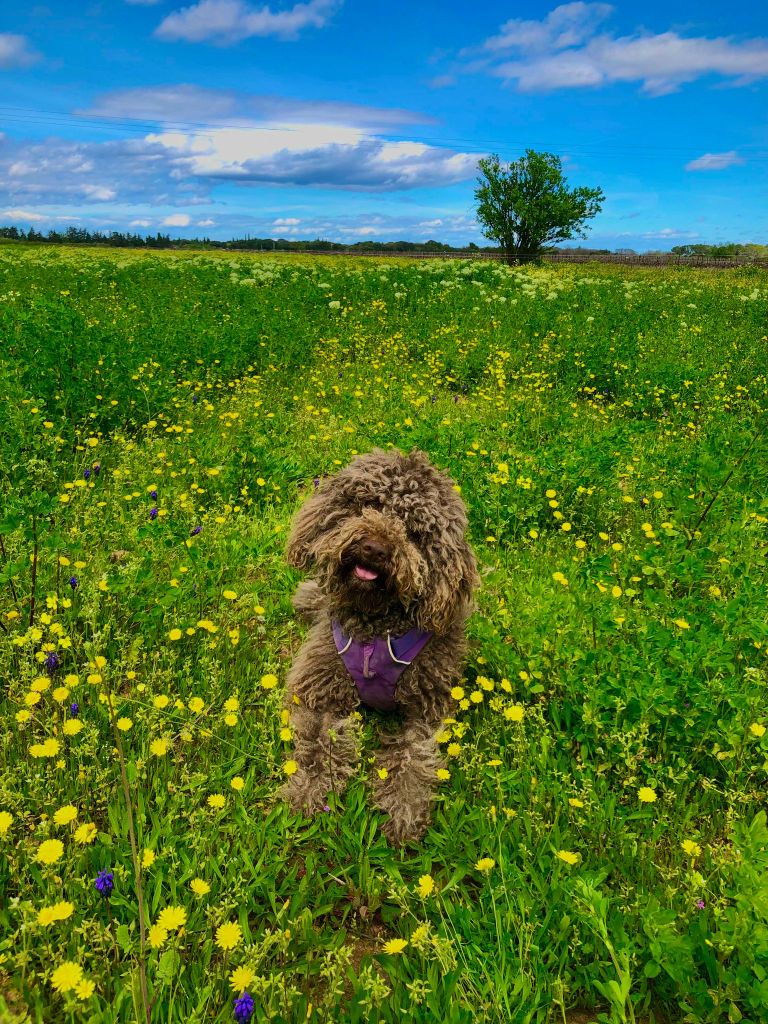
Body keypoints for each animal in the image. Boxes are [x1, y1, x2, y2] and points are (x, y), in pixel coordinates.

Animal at [280, 452, 479, 843]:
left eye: (415, 530)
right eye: (367, 504)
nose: (374, 548)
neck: (374, 628)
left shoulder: (425, 707)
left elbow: (414, 756)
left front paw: (403, 807)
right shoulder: (319, 689)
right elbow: (315, 744)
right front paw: (309, 789)